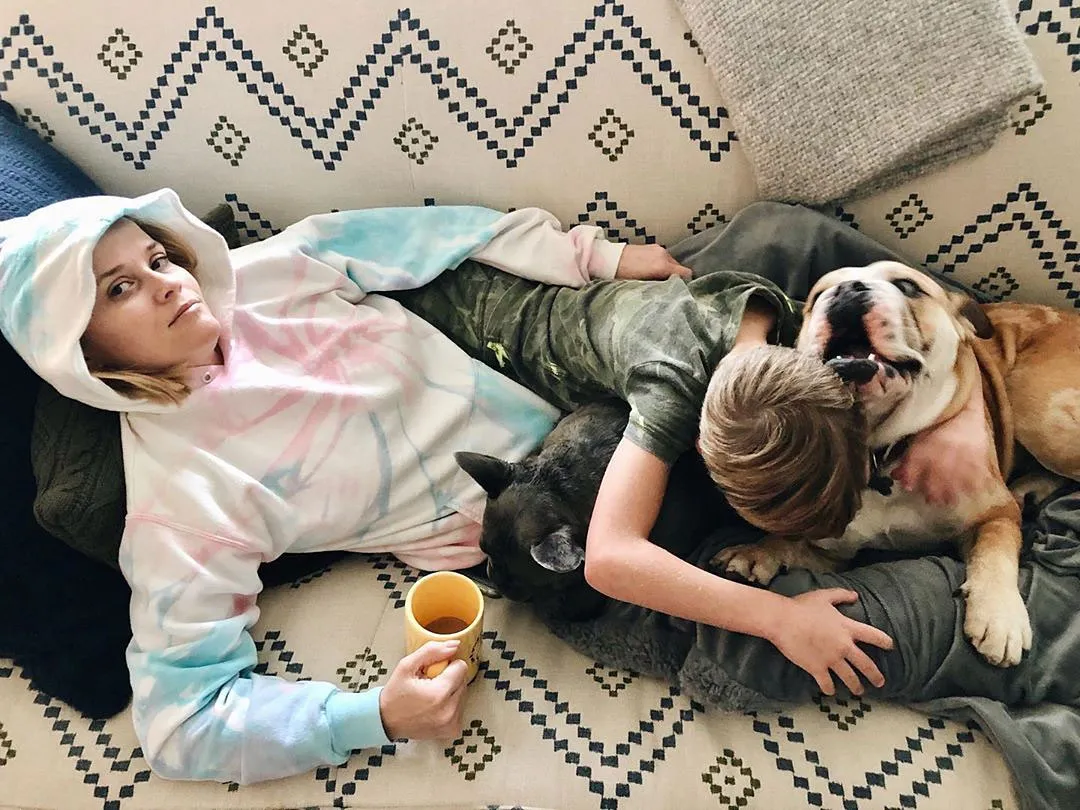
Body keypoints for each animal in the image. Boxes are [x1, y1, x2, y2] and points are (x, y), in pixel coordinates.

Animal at [714, 260, 1080, 667]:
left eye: (907, 286)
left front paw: (1000, 616)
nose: (847, 290)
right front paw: (757, 552)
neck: (884, 447)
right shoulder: (834, 552)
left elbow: (995, 553)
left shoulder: (993, 514)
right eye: (819, 294)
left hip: (1041, 416)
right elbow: (790, 543)